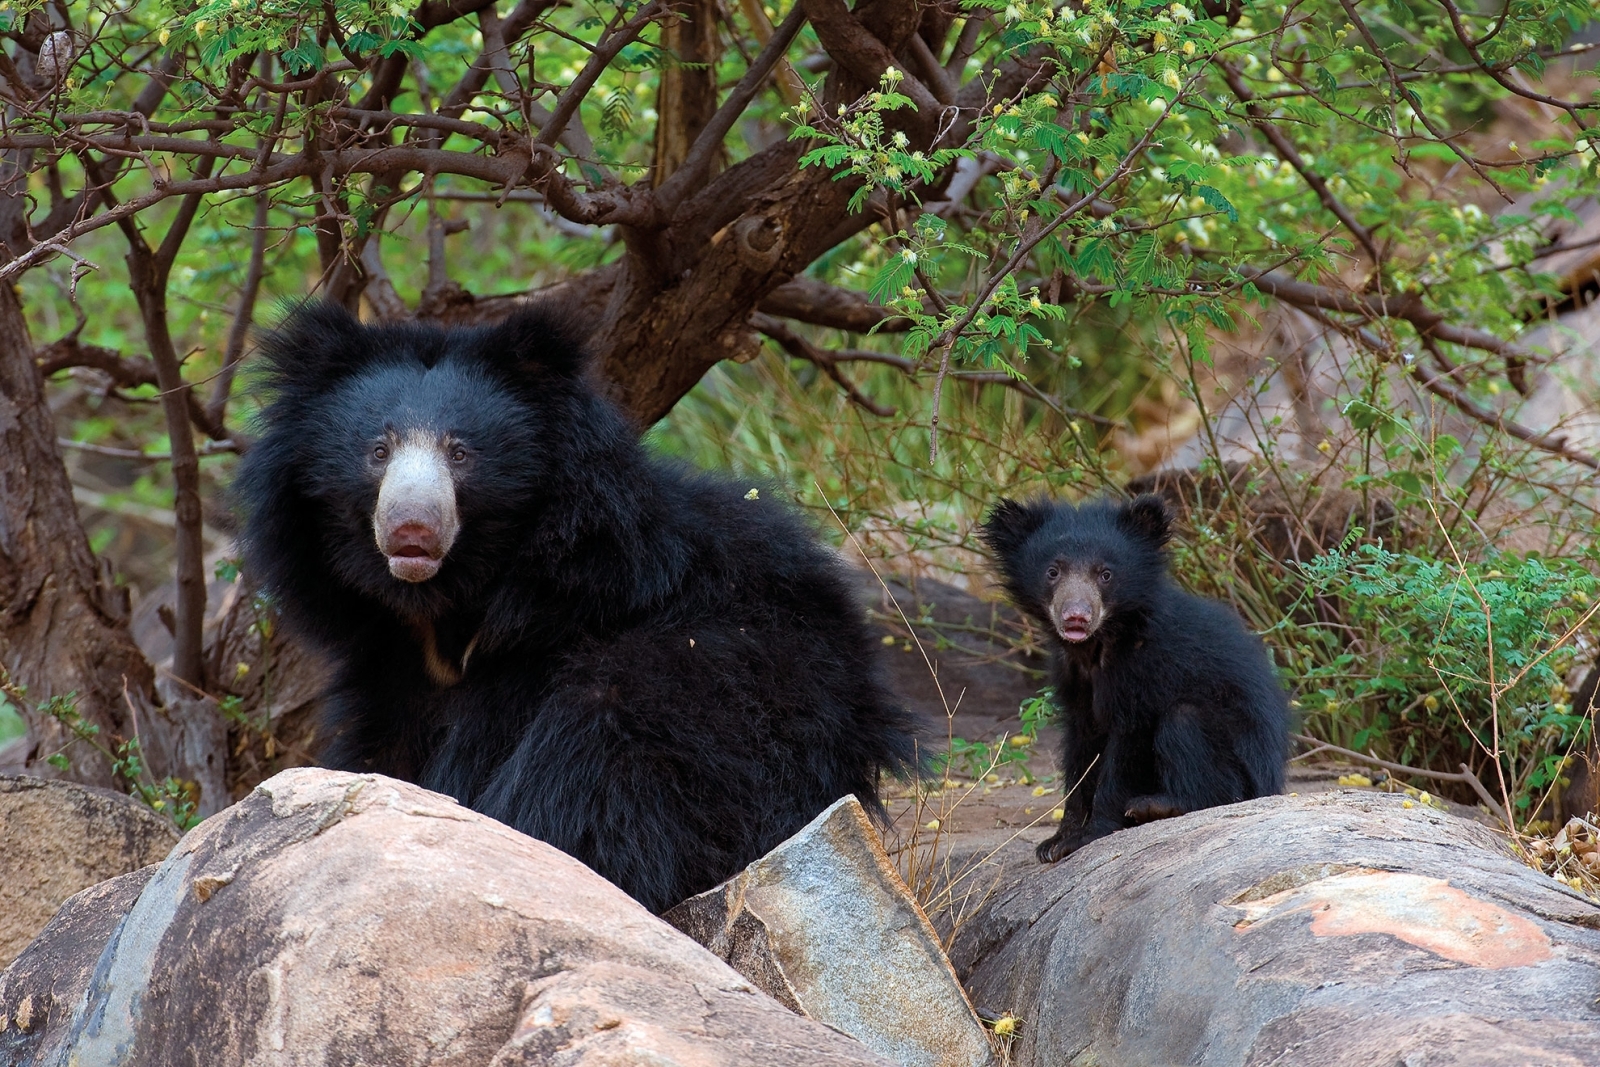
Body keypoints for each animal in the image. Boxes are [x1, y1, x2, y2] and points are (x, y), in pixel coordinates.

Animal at [232, 303, 921, 915]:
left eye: (461, 452)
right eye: (378, 450)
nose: (411, 530)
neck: (454, 605)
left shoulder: (550, 641)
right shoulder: (395, 668)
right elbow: (384, 758)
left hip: (733, 692)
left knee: (598, 759)